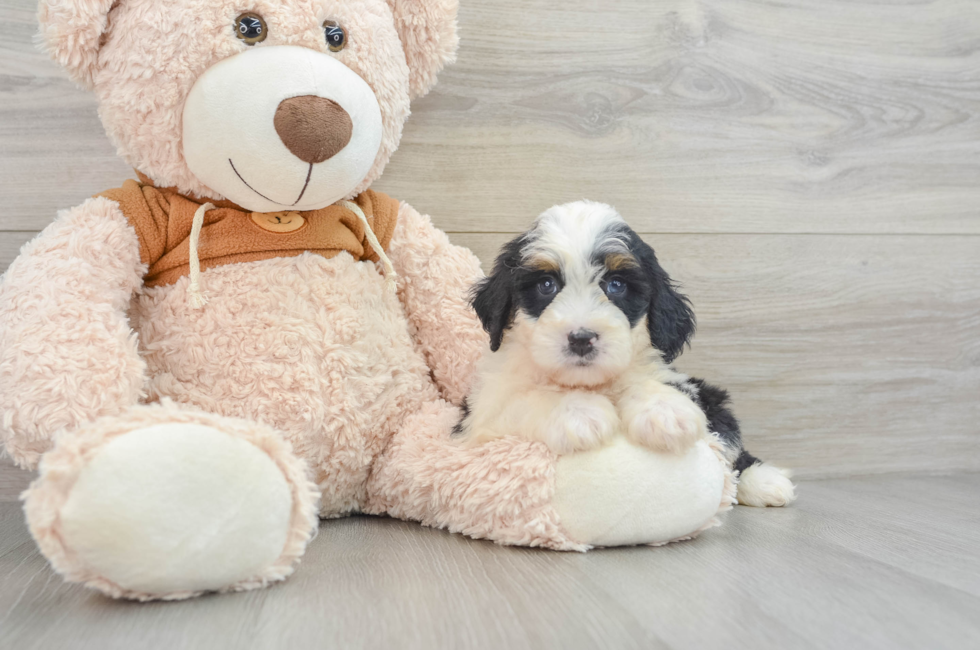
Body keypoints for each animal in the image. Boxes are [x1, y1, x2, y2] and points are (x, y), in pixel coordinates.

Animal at [458, 199, 796, 506]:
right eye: (546, 284)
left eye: (616, 285)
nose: (581, 338)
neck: (589, 383)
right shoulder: (479, 412)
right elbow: (522, 398)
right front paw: (579, 412)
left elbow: (649, 383)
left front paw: (664, 411)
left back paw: (765, 481)